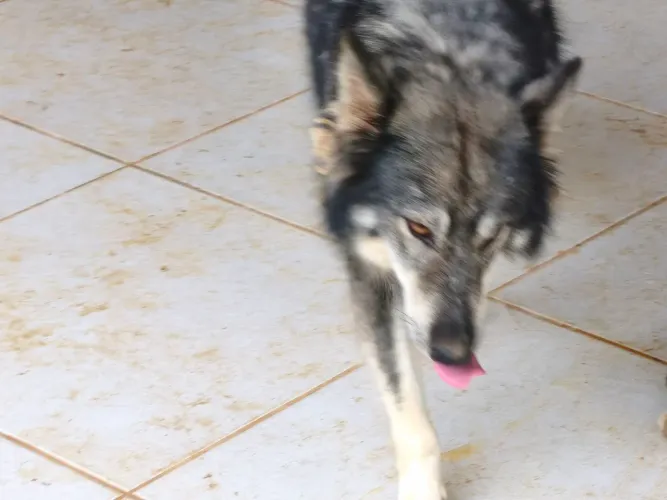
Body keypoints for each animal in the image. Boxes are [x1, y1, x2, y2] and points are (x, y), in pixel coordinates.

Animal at [304, 0, 582, 497]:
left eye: (491, 236)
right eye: (417, 228)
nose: (452, 354)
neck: (448, 50)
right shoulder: (370, 268)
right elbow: (410, 414)